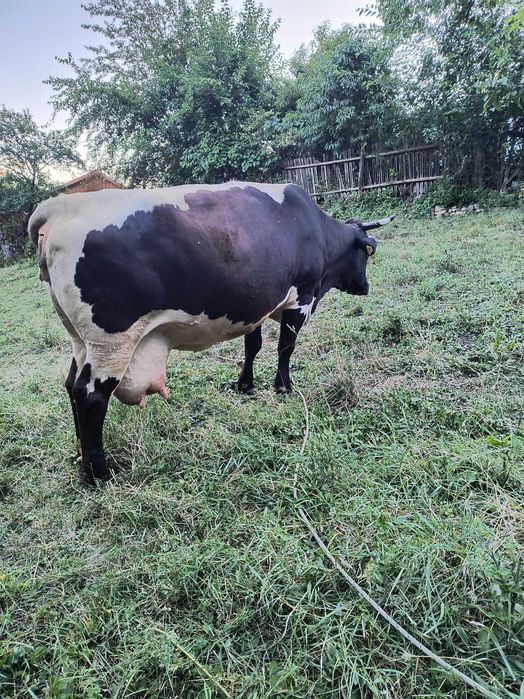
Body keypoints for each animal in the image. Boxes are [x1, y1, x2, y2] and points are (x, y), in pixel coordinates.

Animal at [29, 182, 393, 484]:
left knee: (70, 386)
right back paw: (98, 474)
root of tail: (57, 207)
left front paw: (245, 385)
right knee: (90, 396)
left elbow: (253, 345)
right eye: (366, 253)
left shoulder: (254, 306)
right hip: (111, 341)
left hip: (81, 341)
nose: (365, 287)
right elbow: (285, 348)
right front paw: (283, 387)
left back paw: (80, 457)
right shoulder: (300, 299)